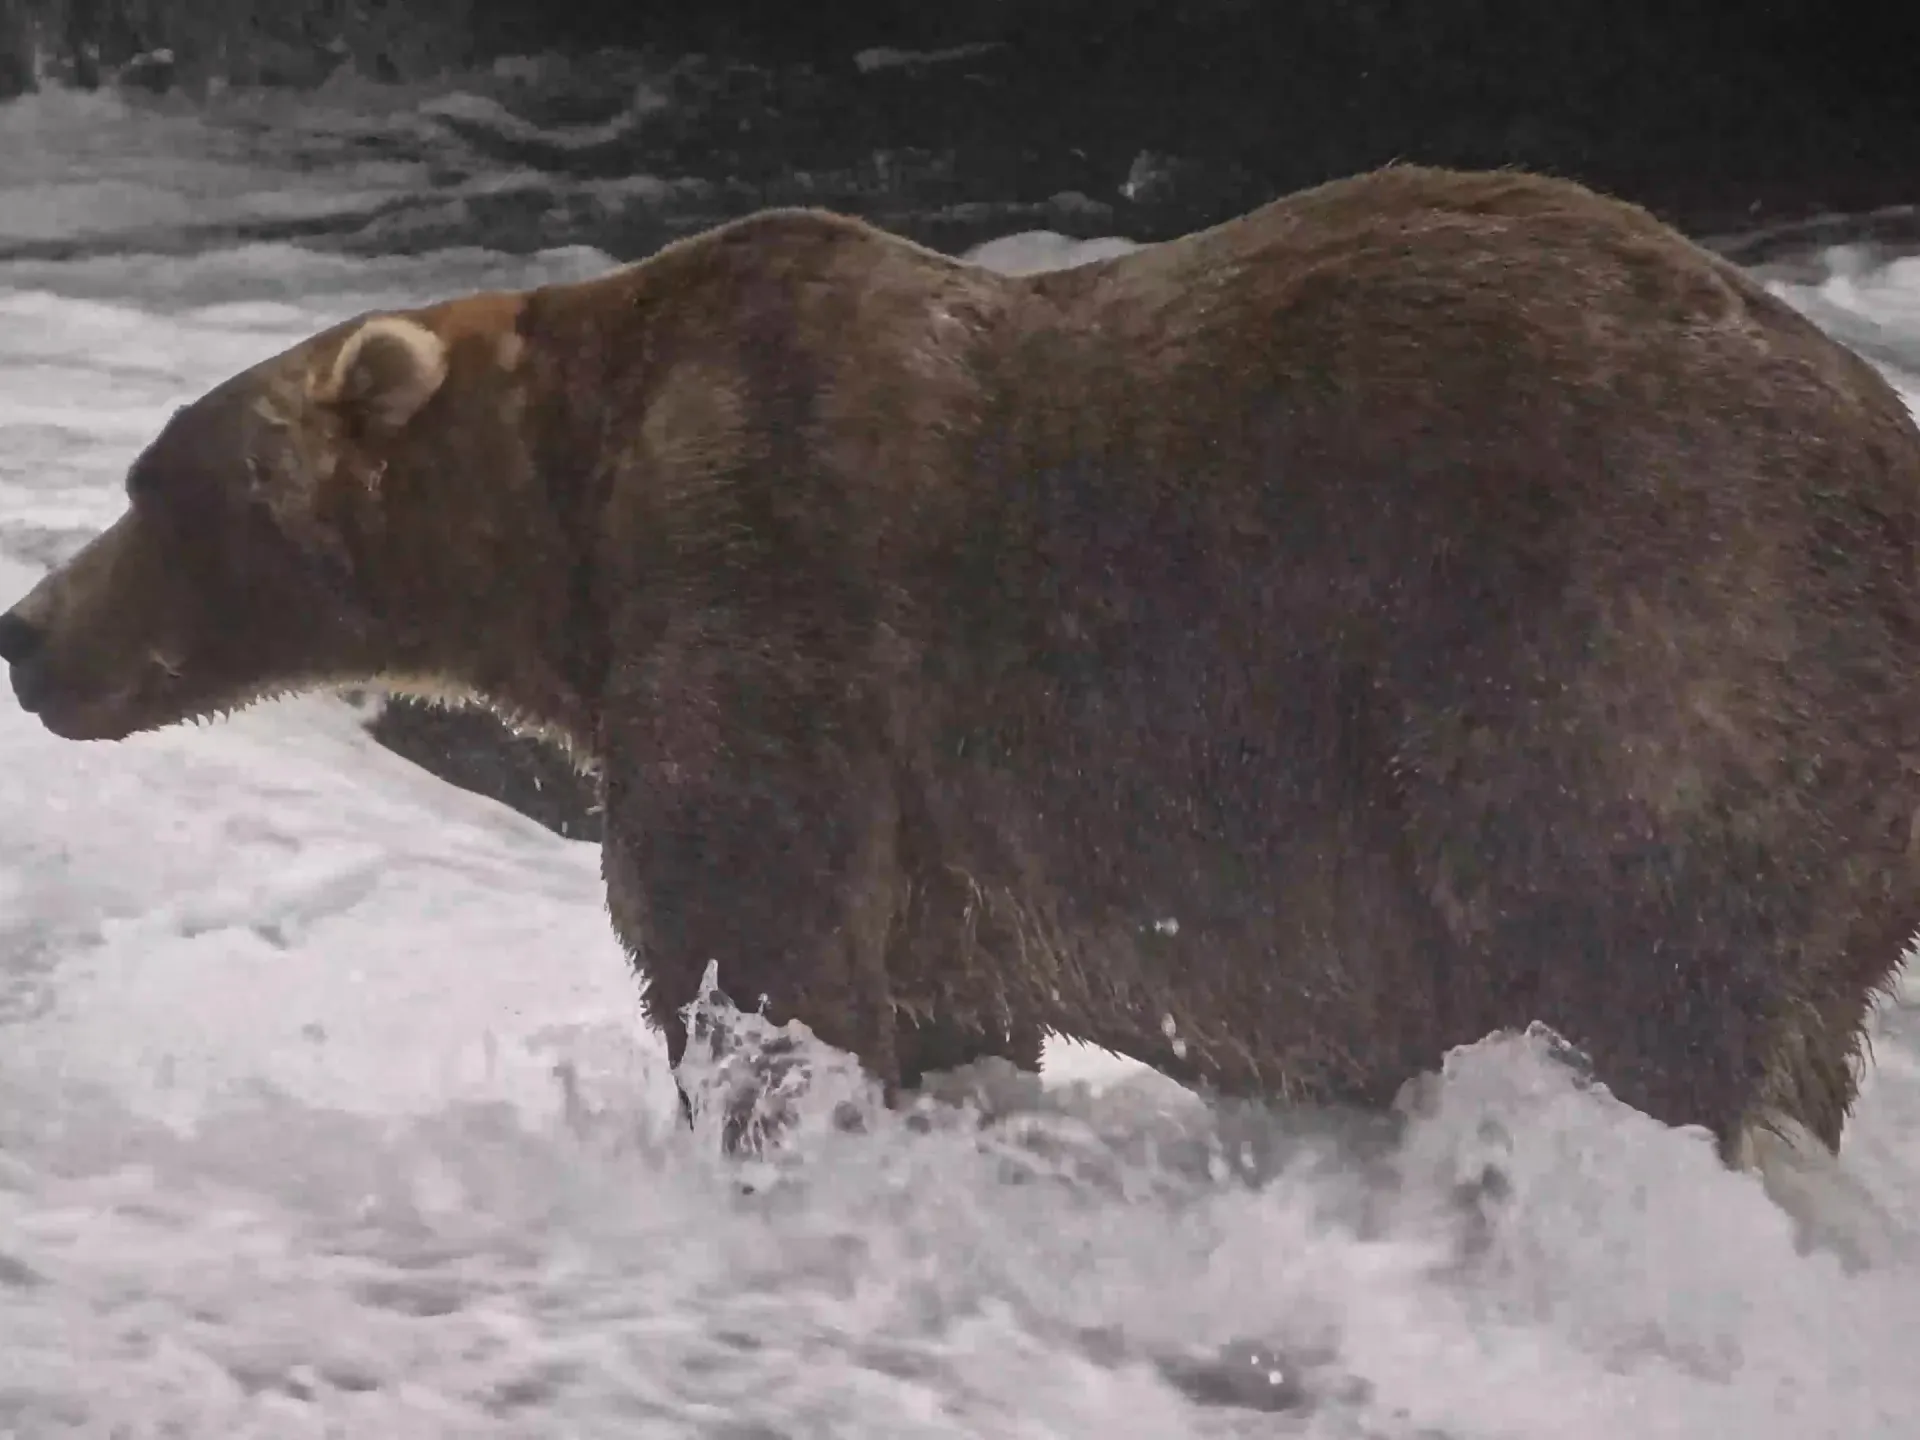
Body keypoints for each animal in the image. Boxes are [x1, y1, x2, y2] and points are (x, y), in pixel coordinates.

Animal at [3, 163, 1918, 1177]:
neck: (570, 516)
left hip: (1630, 636)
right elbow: (934, 1000)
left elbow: (752, 943)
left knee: (1627, 958)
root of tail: (1884, 445)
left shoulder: (773, 593)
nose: (26, 630)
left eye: (153, 483)